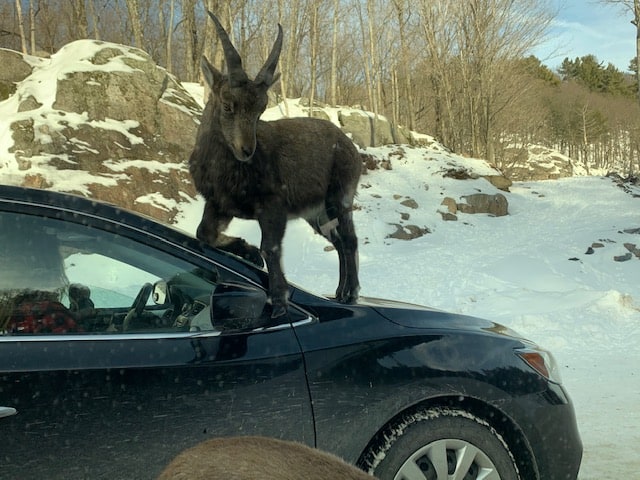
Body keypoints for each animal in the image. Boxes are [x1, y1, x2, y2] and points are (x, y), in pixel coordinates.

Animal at [188, 11, 362, 316]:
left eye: (260, 110)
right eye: (227, 104)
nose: (247, 150)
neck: (224, 170)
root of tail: (351, 147)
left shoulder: (273, 205)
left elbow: (270, 247)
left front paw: (279, 299)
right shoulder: (220, 204)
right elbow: (203, 232)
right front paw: (245, 249)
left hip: (339, 196)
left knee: (350, 240)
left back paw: (351, 293)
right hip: (317, 215)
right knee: (339, 241)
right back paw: (340, 292)